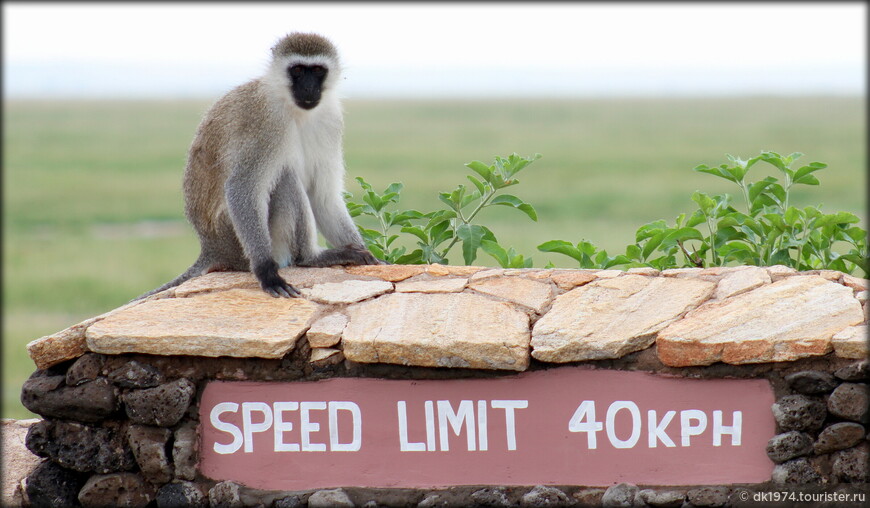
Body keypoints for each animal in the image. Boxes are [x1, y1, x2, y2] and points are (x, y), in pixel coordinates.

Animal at [137, 31, 378, 300]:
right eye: (297, 70)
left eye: (317, 70)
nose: (308, 88)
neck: (292, 108)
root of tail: (211, 247)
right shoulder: (264, 122)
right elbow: (244, 187)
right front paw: (266, 271)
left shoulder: (330, 120)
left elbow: (324, 195)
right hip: (233, 238)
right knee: (285, 179)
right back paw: (309, 258)